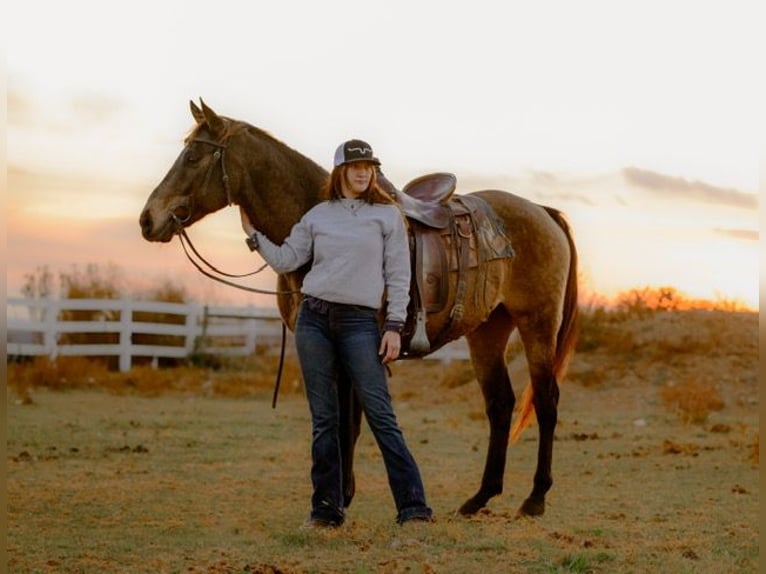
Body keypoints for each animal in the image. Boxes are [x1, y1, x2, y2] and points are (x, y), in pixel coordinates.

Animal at [140, 101, 584, 520]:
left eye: (193, 156)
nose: (148, 219)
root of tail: (543, 211)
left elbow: (349, 423)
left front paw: (338, 499)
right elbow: (340, 419)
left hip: (538, 325)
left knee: (546, 401)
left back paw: (535, 498)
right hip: (488, 331)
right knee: (501, 404)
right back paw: (479, 498)